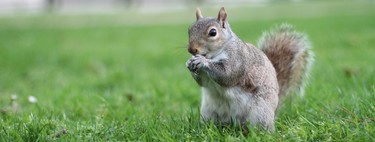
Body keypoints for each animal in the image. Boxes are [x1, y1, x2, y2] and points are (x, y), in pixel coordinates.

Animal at [186, 7, 314, 133]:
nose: (192, 49)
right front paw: (189, 62)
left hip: (260, 113)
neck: (213, 55)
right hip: (208, 112)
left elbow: (226, 75)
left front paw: (202, 61)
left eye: (213, 32)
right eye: (189, 30)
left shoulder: (238, 59)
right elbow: (203, 82)